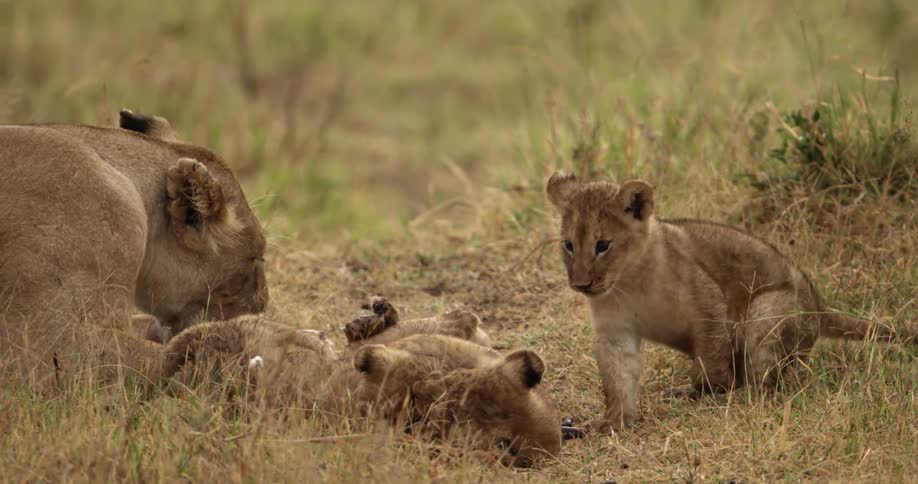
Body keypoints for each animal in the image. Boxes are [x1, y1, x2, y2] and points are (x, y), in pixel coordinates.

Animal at [545, 171, 913, 433]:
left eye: (603, 245)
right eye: (568, 245)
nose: (581, 284)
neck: (629, 281)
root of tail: (820, 308)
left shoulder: (708, 302)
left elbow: (712, 361)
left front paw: (710, 392)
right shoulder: (615, 330)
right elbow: (618, 376)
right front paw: (613, 421)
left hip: (767, 312)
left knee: (766, 385)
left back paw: (719, 394)